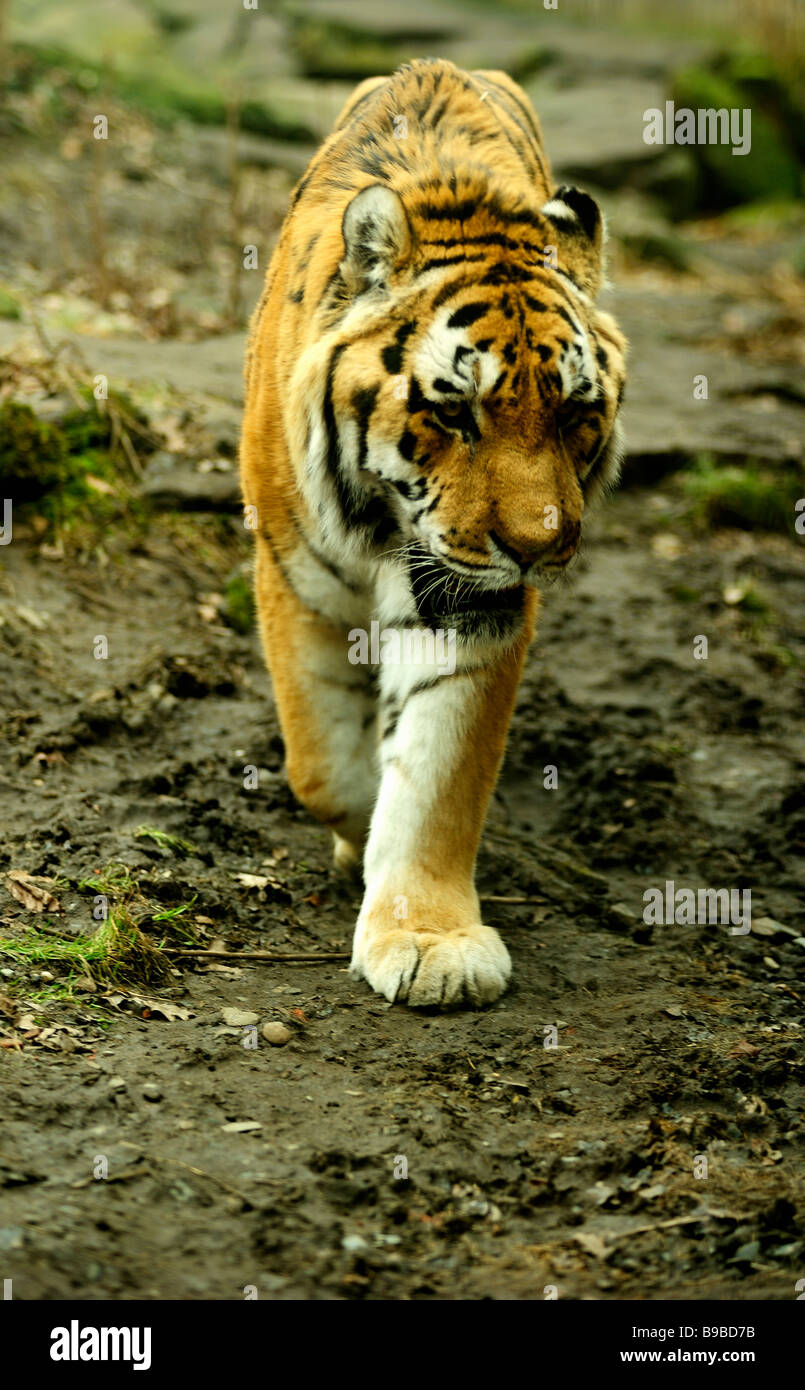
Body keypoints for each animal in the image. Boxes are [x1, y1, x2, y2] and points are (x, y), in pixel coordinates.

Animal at [240, 56, 631, 1011]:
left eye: (574, 414)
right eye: (454, 412)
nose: (538, 548)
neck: (386, 526)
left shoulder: (473, 602)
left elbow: (437, 774)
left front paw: (426, 939)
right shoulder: (292, 572)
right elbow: (323, 764)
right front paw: (356, 836)